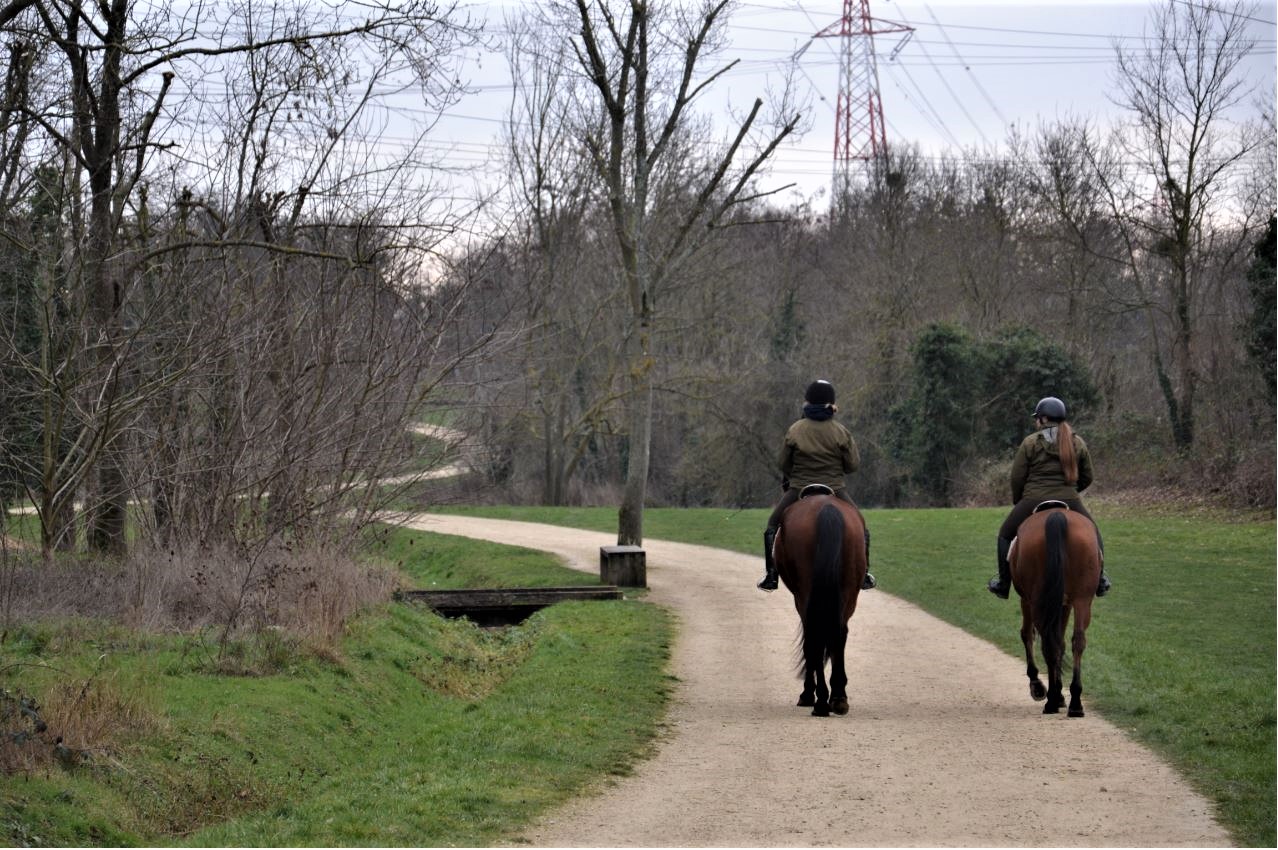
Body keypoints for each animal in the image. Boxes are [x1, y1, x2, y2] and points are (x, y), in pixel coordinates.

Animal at [766, 490, 869, 715]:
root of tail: (826, 509)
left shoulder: (800, 599)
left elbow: (809, 643)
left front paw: (807, 693)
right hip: (848, 592)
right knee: (838, 633)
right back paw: (838, 698)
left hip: (806, 593)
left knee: (816, 634)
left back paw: (820, 700)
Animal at [1007, 503, 1099, 715]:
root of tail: (1055, 515)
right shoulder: (1064, 604)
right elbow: (1061, 643)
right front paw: (1060, 694)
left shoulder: (1027, 600)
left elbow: (1027, 634)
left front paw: (1040, 687)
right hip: (1082, 599)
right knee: (1077, 641)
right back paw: (1075, 702)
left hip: (1037, 601)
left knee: (1046, 643)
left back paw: (1050, 700)